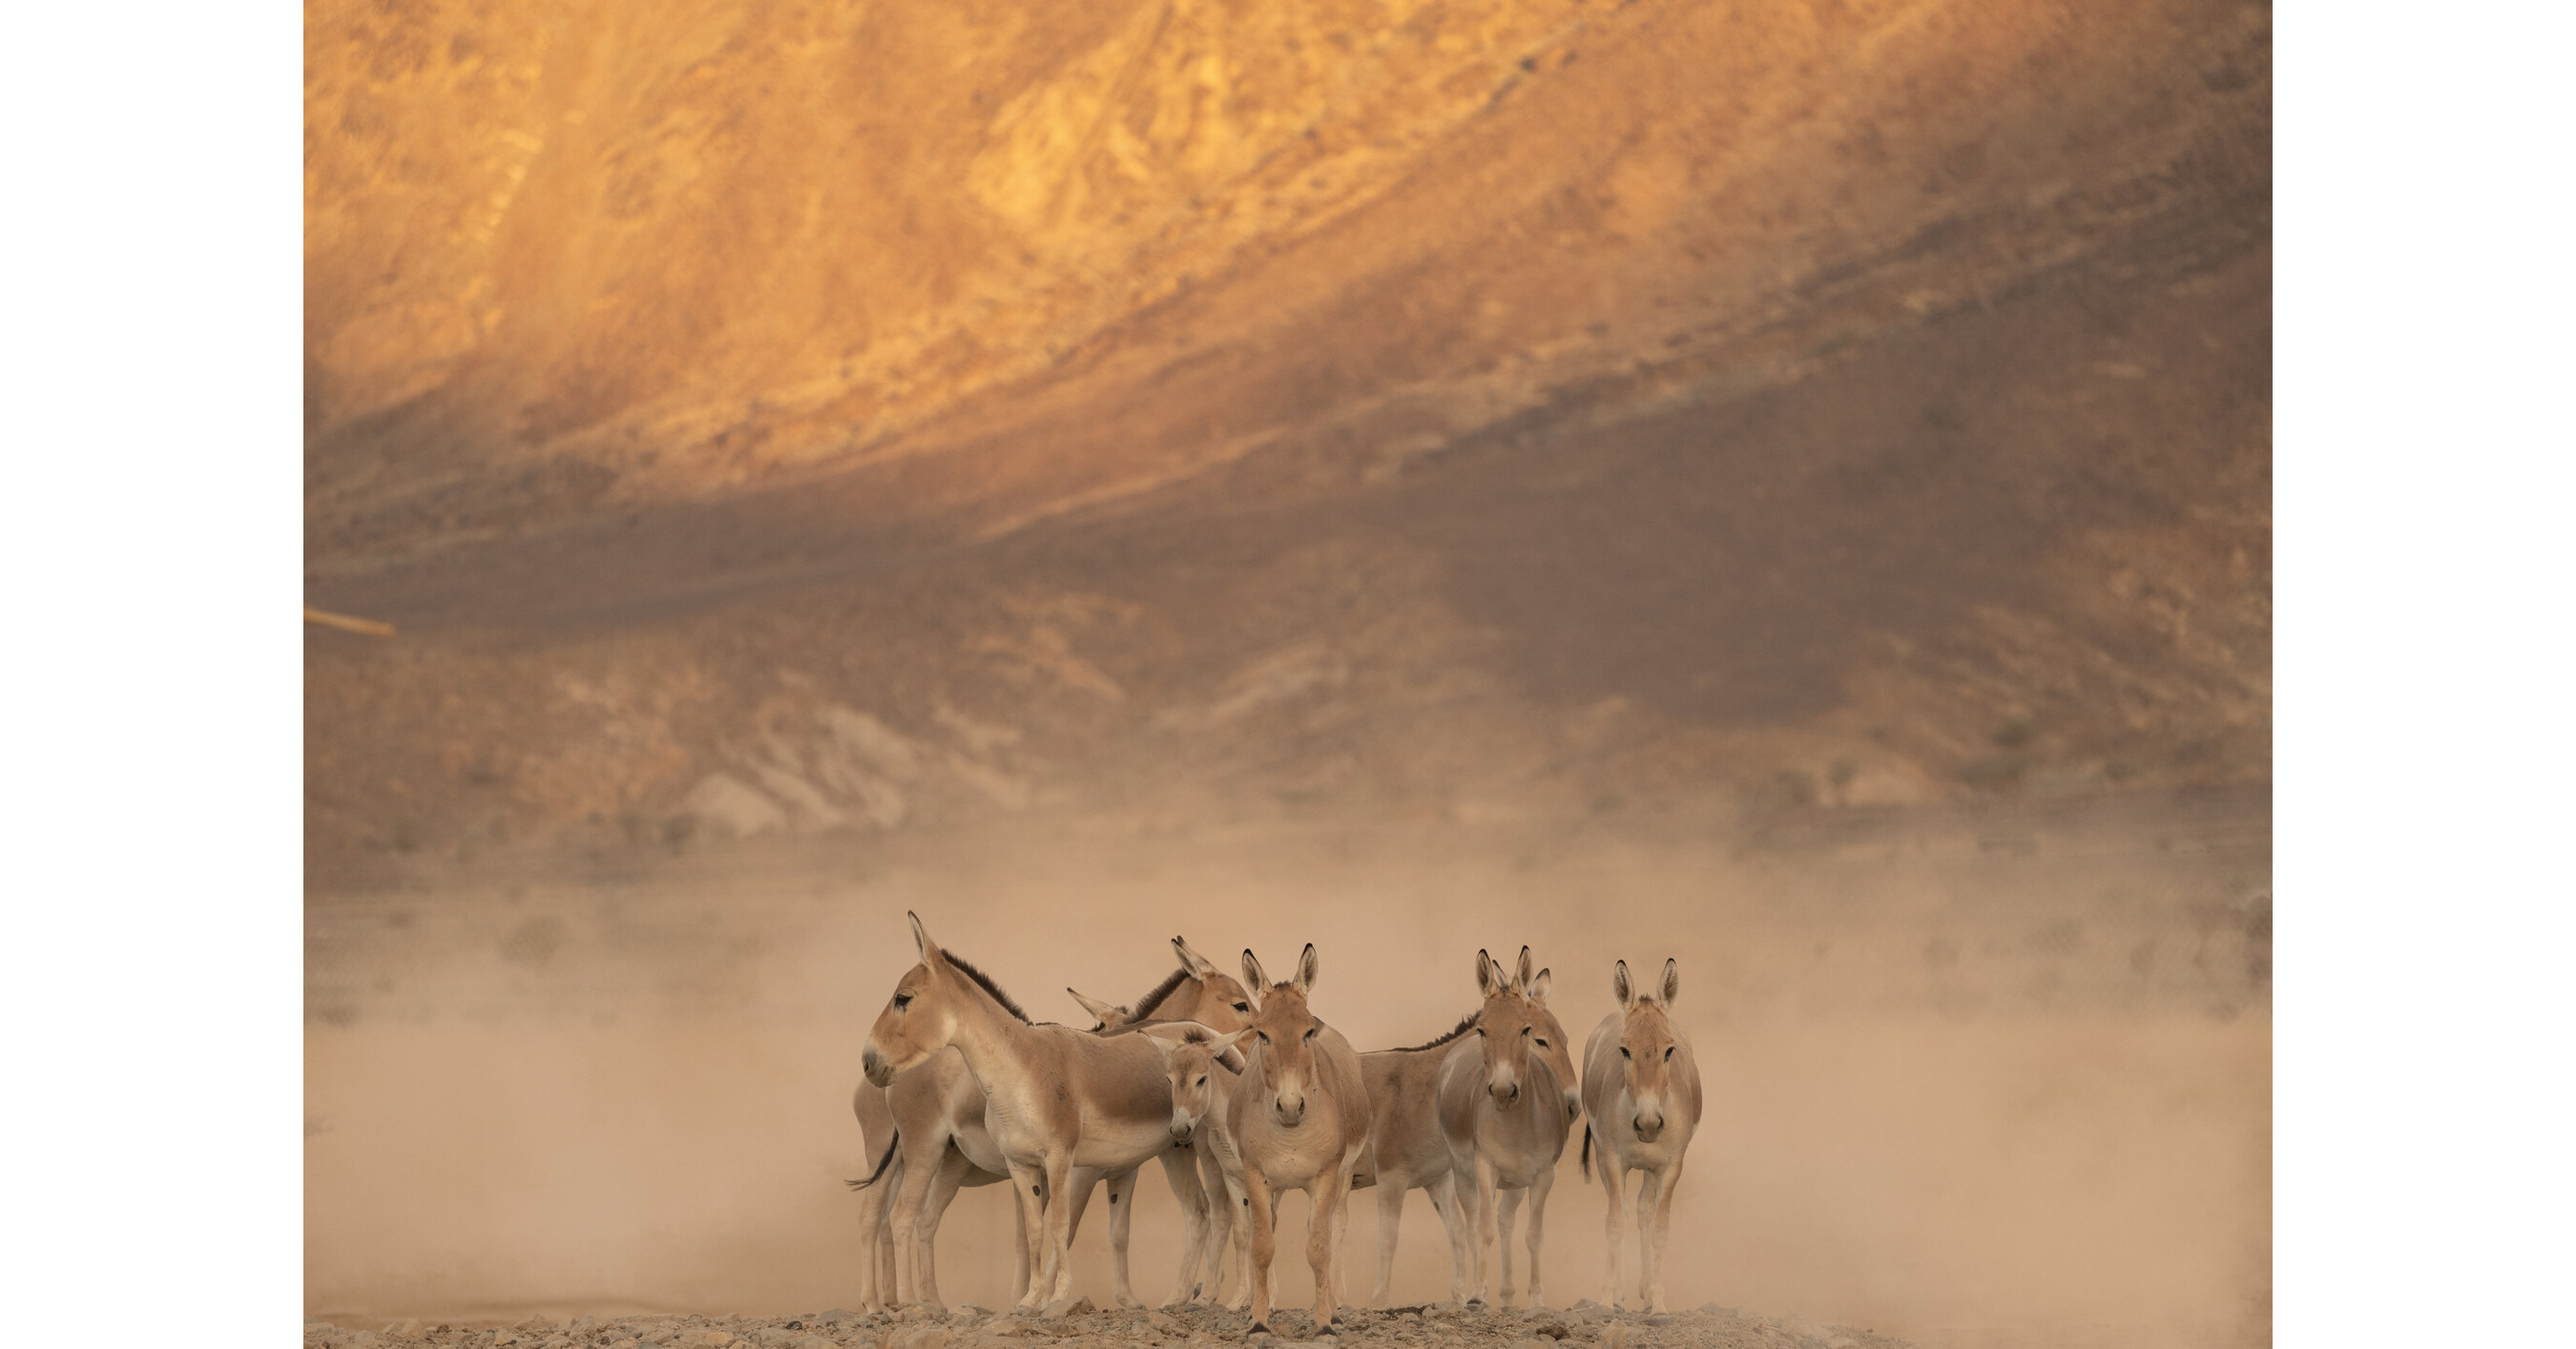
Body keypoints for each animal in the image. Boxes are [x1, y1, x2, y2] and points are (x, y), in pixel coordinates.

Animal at [1576, 957, 1700, 1318]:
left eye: (1669, 1050)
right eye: (1624, 1050)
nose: (1647, 1124)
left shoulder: (1671, 1167)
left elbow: (1660, 1228)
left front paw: (1658, 1304)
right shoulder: (1613, 1161)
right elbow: (1615, 1224)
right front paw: (1606, 1299)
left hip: (1650, 1168)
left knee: (1644, 1210)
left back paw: (1644, 1292)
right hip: (1605, 1159)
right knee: (1626, 1211)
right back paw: (1620, 1294)